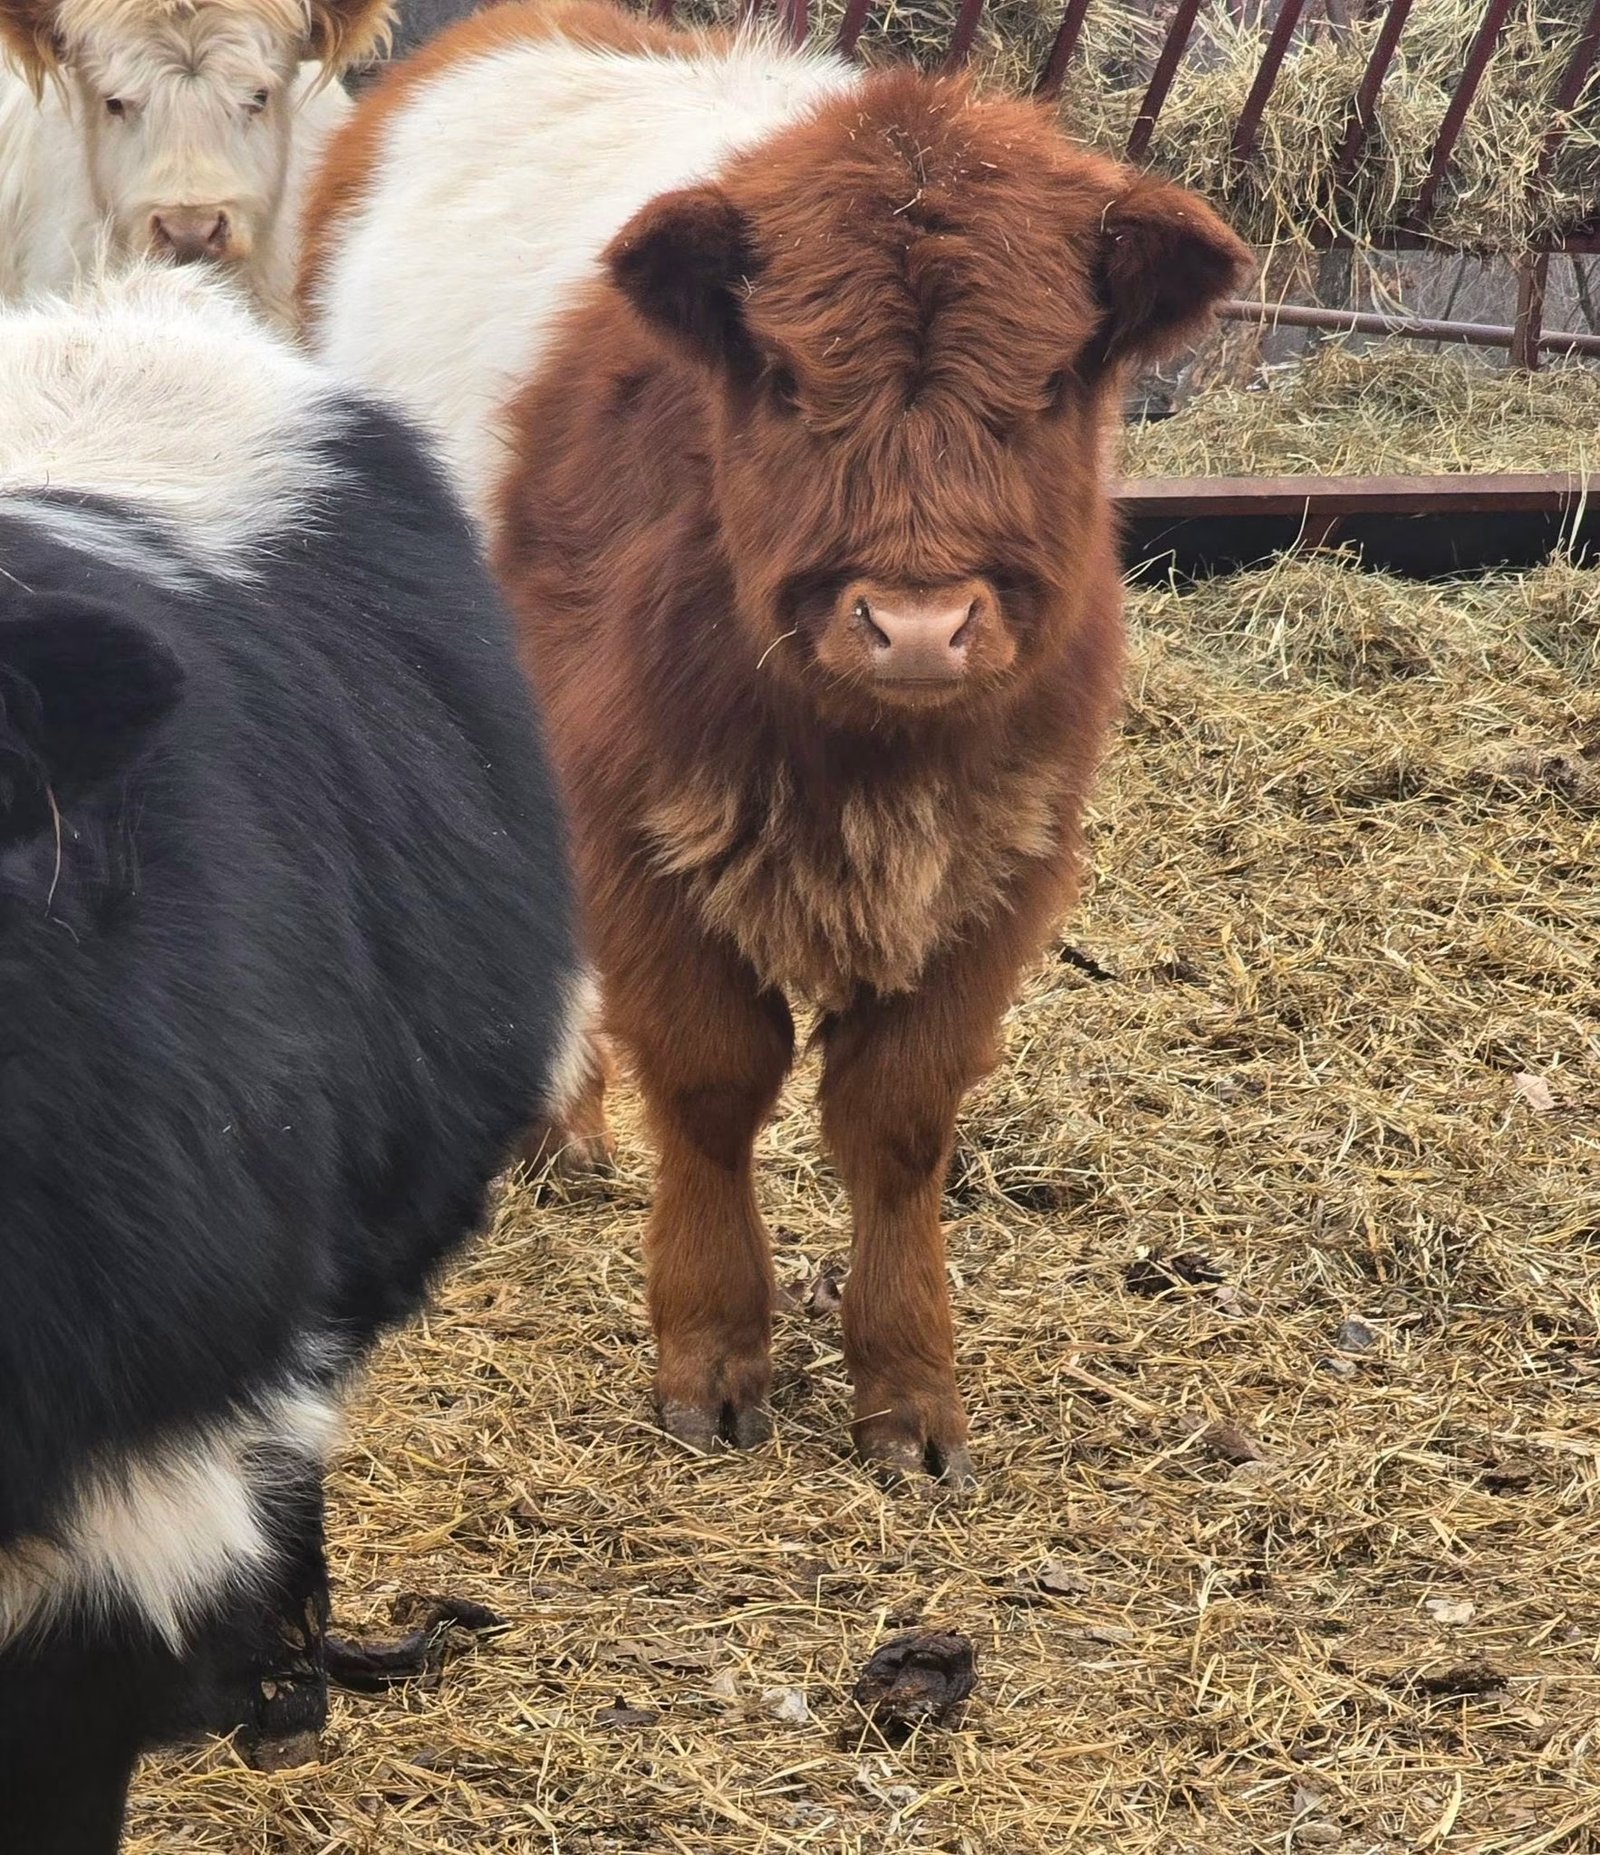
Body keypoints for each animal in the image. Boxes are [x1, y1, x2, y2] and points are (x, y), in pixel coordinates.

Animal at [300, 0, 1251, 1485]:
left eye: (1048, 385)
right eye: (793, 381)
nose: (915, 624)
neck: (862, 764)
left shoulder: (1007, 855)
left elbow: (900, 1117)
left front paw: (909, 1385)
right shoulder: (633, 827)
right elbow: (710, 1081)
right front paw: (711, 1350)